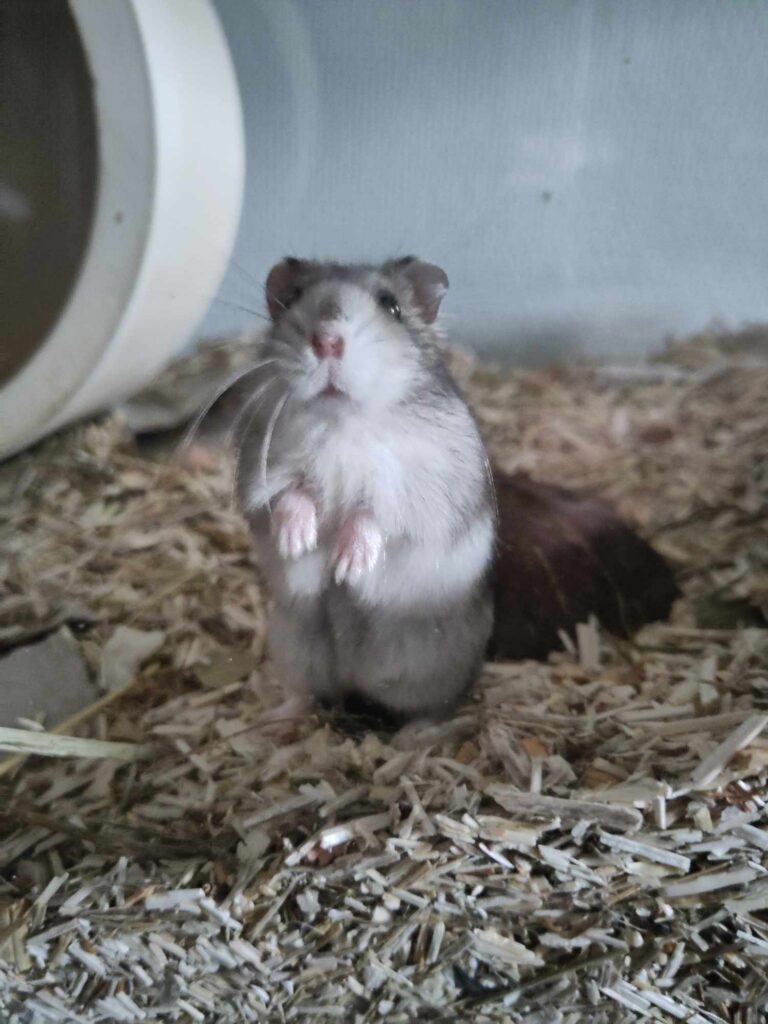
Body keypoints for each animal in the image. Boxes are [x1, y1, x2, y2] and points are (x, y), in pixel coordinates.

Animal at [233, 256, 496, 722]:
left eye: (391, 305)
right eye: (294, 298)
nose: (326, 341)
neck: (341, 420)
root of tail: (356, 680)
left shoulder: (424, 486)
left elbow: (374, 511)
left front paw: (346, 567)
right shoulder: (259, 475)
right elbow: (292, 493)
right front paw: (295, 542)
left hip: (434, 669)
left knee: (433, 708)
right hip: (292, 646)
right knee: (307, 693)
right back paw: (274, 720)